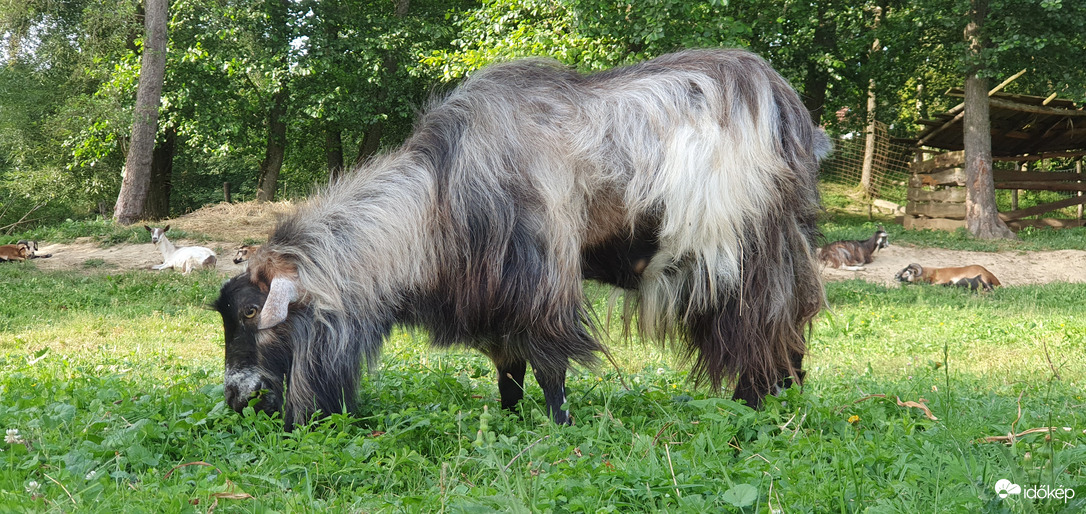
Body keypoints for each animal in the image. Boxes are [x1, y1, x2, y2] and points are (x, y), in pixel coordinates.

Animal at [218, 48, 829, 425]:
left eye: (250, 312)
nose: (234, 396)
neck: (443, 198)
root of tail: (790, 115)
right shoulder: (493, 303)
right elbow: (508, 372)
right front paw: (509, 418)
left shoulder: (543, 289)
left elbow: (550, 367)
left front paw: (561, 426)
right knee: (792, 333)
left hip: (751, 257)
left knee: (767, 331)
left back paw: (757, 407)